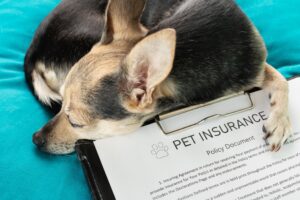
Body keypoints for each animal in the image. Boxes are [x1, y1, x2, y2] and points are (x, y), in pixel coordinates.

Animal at [25, 0, 290, 154]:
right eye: (62, 107)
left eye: (75, 123)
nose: (35, 139)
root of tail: (33, 51)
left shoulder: (255, 67)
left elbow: (282, 80)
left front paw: (280, 122)